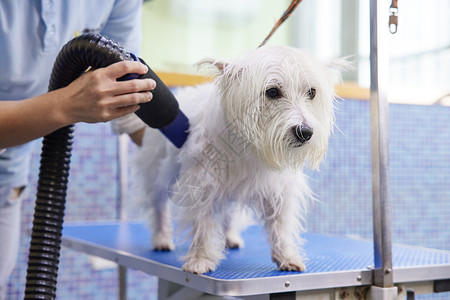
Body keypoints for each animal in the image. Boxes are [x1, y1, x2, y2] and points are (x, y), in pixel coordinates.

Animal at [134, 45, 348, 274]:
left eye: (311, 92)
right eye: (272, 92)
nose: (305, 132)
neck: (251, 149)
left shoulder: (279, 190)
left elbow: (280, 225)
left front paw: (286, 256)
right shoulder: (202, 183)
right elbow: (202, 224)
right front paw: (200, 259)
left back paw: (230, 237)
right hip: (156, 174)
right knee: (159, 207)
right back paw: (162, 238)